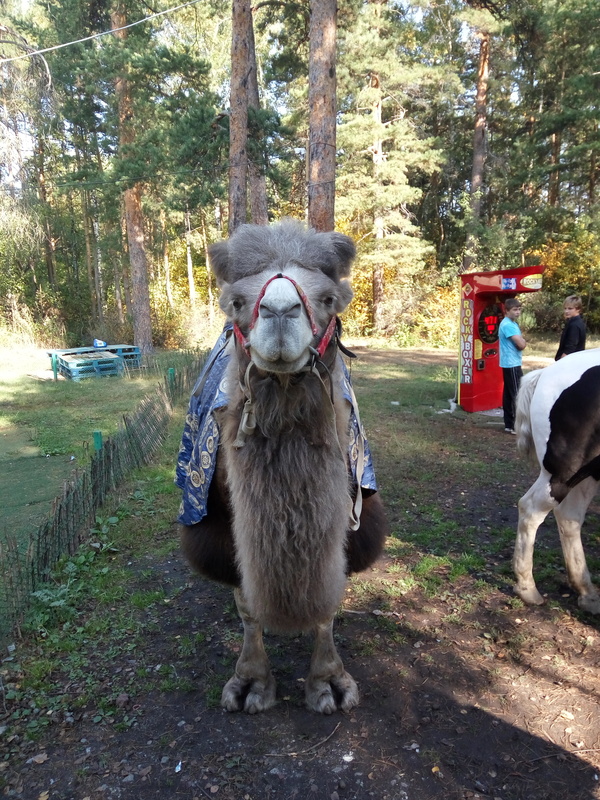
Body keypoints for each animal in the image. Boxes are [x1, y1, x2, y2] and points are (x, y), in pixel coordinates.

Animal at [176, 219, 386, 712]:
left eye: (328, 298)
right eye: (236, 301)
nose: (279, 311)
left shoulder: (347, 523)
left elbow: (328, 600)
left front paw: (328, 682)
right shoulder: (221, 530)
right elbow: (249, 606)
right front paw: (252, 682)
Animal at [512, 346, 600, 616]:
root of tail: (547, 372)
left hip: (587, 473)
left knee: (569, 517)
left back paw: (586, 592)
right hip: (565, 473)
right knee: (531, 509)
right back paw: (527, 586)